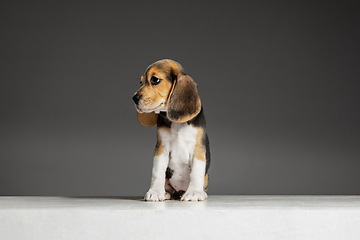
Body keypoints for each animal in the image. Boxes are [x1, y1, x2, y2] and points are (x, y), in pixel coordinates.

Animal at [134, 59, 210, 201]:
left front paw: (194, 192)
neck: (177, 123)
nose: (134, 98)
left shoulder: (198, 148)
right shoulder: (161, 147)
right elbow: (157, 171)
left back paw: (199, 192)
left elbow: (197, 171)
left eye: (155, 80)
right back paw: (165, 192)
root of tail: (179, 190)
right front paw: (155, 191)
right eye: (141, 82)